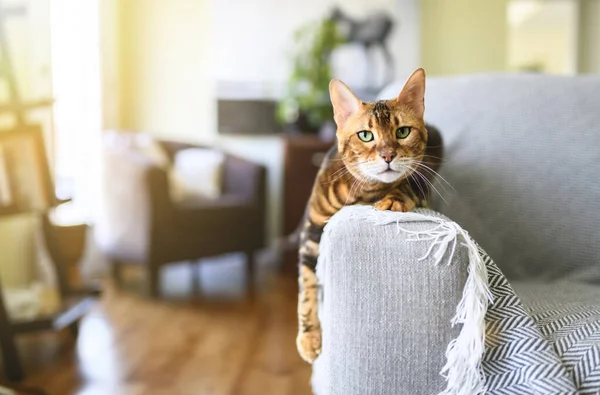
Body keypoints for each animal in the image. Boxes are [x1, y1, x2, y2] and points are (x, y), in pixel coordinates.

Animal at [296, 67, 440, 362]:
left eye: (402, 131)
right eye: (365, 136)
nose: (387, 155)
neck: (363, 192)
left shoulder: (422, 181)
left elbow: (406, 186)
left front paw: (393, 200)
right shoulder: (311, 229)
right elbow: (307, 286)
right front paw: (309, 336)